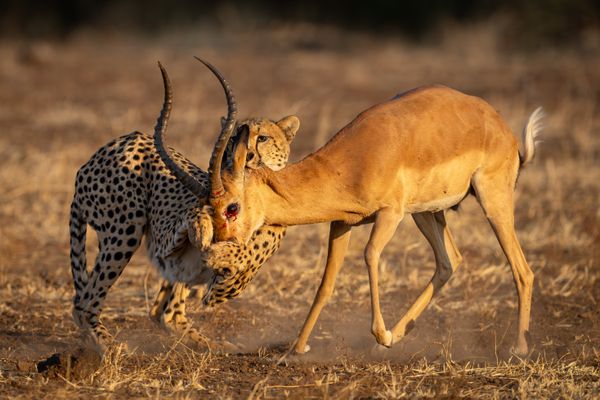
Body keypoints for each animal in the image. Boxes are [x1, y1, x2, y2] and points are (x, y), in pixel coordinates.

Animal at [69, 61, 298, 352]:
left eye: (263, 138)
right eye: (234, 137)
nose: (245, 155)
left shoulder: (196, 272)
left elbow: (231, 273)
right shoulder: (164, 246)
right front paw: (203, 228)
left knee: (162, 312)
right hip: (124, 231)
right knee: (86, 303)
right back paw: (108, 345)